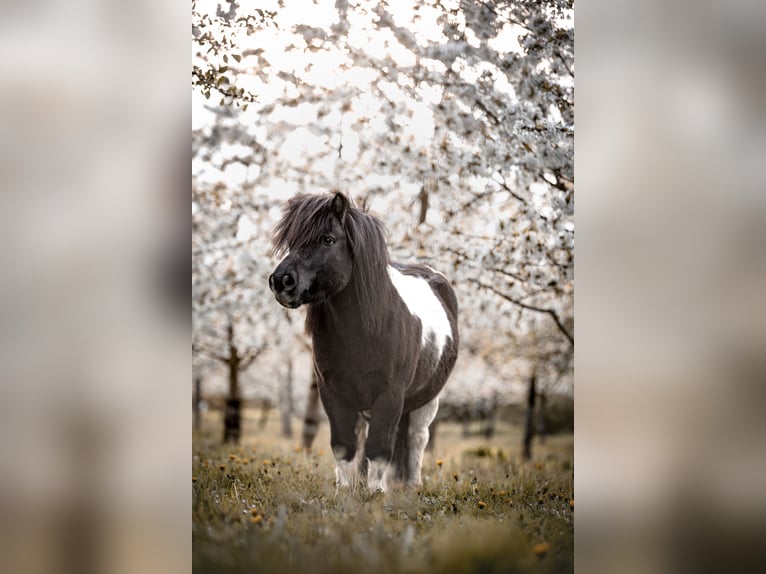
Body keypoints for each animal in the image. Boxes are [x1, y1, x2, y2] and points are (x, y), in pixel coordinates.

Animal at [268, 192, 458, 491]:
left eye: (328, 239)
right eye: (291, 241)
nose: (281, 281)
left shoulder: (390, 395)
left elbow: (380, 446)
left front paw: (376, 492)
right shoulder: (333, 393)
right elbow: (344, 446)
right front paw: (346, 491)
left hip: (427, 400)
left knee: (416, 438)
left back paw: (411, 486)